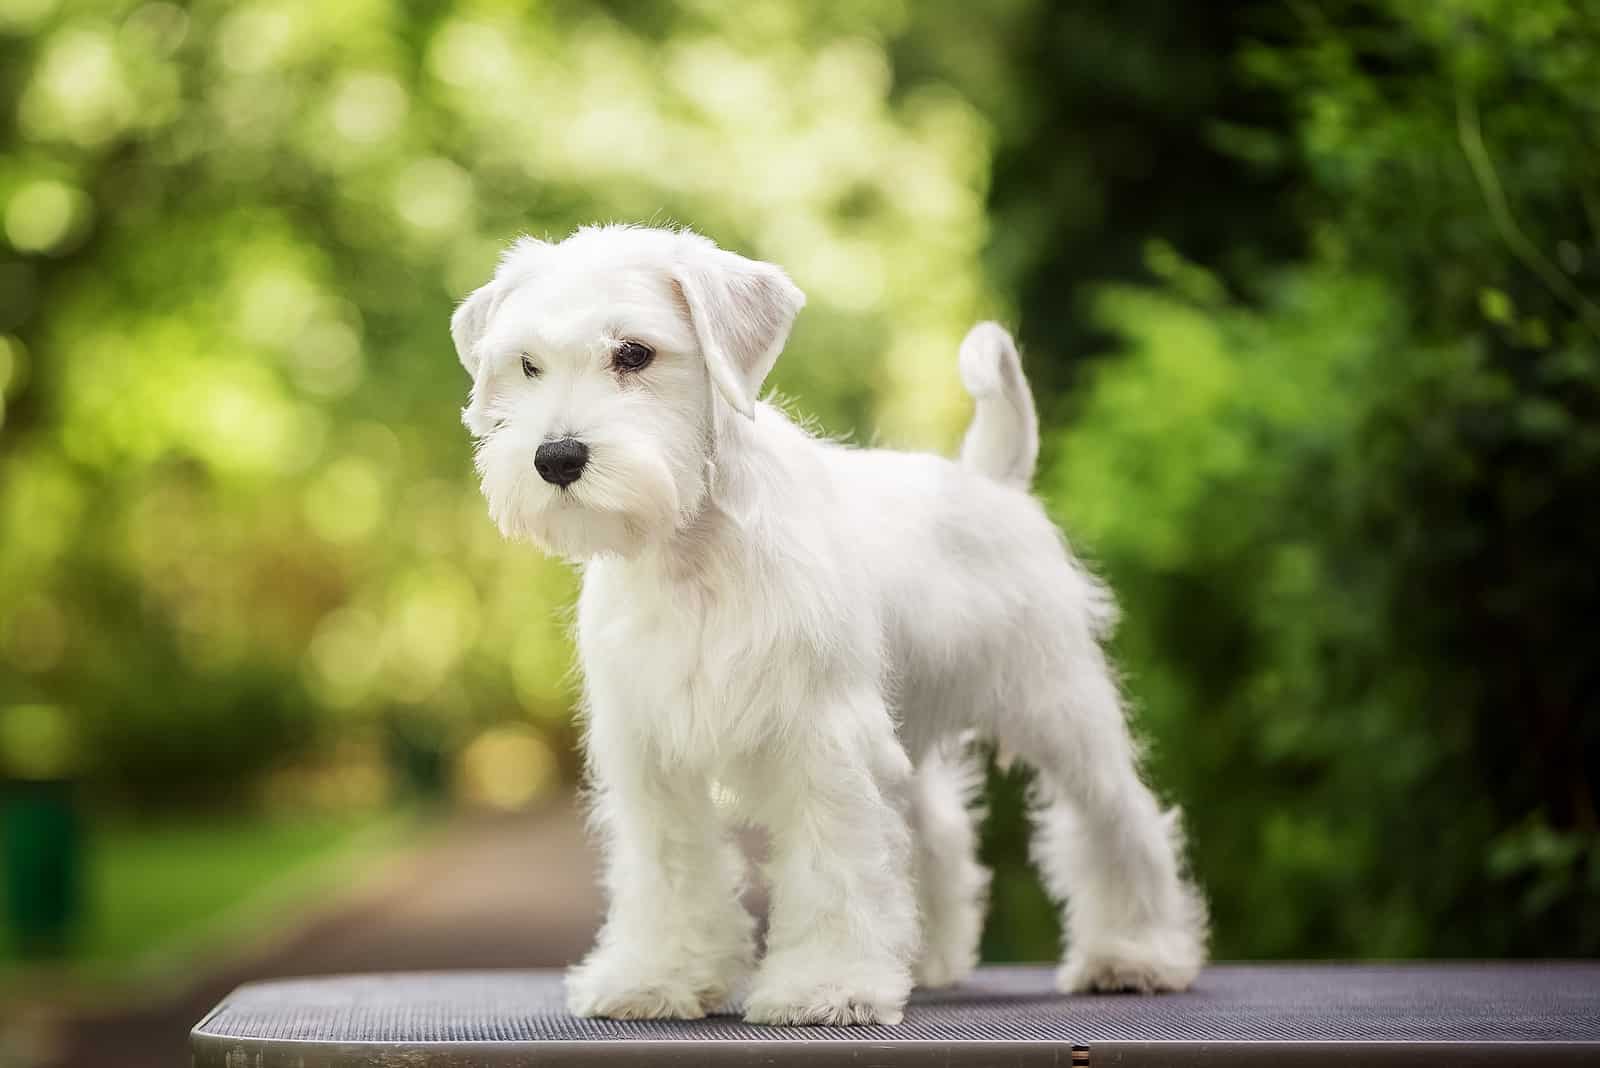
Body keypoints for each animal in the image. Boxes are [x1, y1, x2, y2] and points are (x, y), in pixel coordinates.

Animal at [448, 223, 1203, 1023]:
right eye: (527, 364)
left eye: (634, 353)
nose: (557, 458)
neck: (694, 550)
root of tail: (991, 480)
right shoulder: (653, 752)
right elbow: (669, 868)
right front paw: (657, 974)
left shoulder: (820, 735)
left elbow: (832, 866)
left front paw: (825, 985)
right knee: (935, 833)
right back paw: (927, 957)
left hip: (1059, 705)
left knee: (1118, 819)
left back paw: (1137, 954)